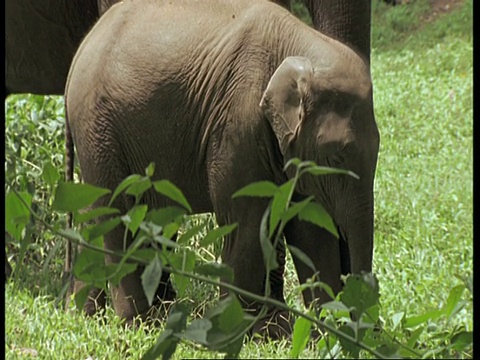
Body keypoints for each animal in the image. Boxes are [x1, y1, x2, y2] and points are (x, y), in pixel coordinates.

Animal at [64, 0, 378, 338]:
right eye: (338, 156)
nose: (373, 330)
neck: (300, 46)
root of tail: (80, 52)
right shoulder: (237, 123)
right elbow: (247, 221)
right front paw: (249, 331)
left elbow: (308, 228)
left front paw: (321, 331)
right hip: (98, 129)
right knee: (118, 216)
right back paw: (141, 322)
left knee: (106, 217)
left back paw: (88, 314)